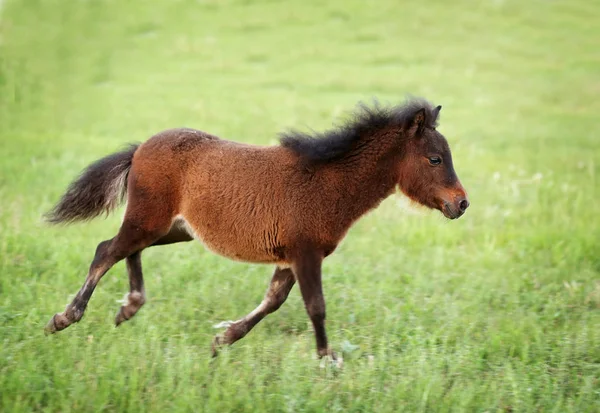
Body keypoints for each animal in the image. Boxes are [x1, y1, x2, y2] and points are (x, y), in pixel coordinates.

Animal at [44, 96, 472, 358]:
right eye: (435, 159)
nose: (462, 203)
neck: (330, 182)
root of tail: (140, 148)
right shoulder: (305, 252)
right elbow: (315, 306)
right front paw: (327, 361)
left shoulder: (291, 256)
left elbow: (273, 301)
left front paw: (223, 339)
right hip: (150, 218)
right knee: (107, 250)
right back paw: (66, 318)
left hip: (173, 227)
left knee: (125, 248)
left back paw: (129, 307)